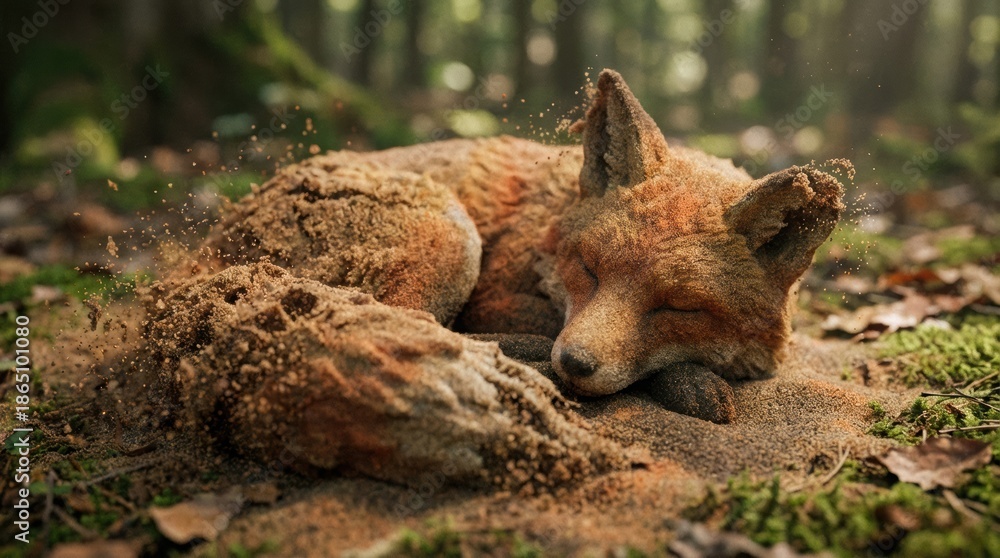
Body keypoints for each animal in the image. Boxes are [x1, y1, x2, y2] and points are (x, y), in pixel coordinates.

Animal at [201, 69, 845, 424]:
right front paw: (691, 382)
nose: (574, 364)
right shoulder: (498, 296)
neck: (546, 234)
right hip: (450, 234)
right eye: (589, 269)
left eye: (680, 308)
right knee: (404, 326)